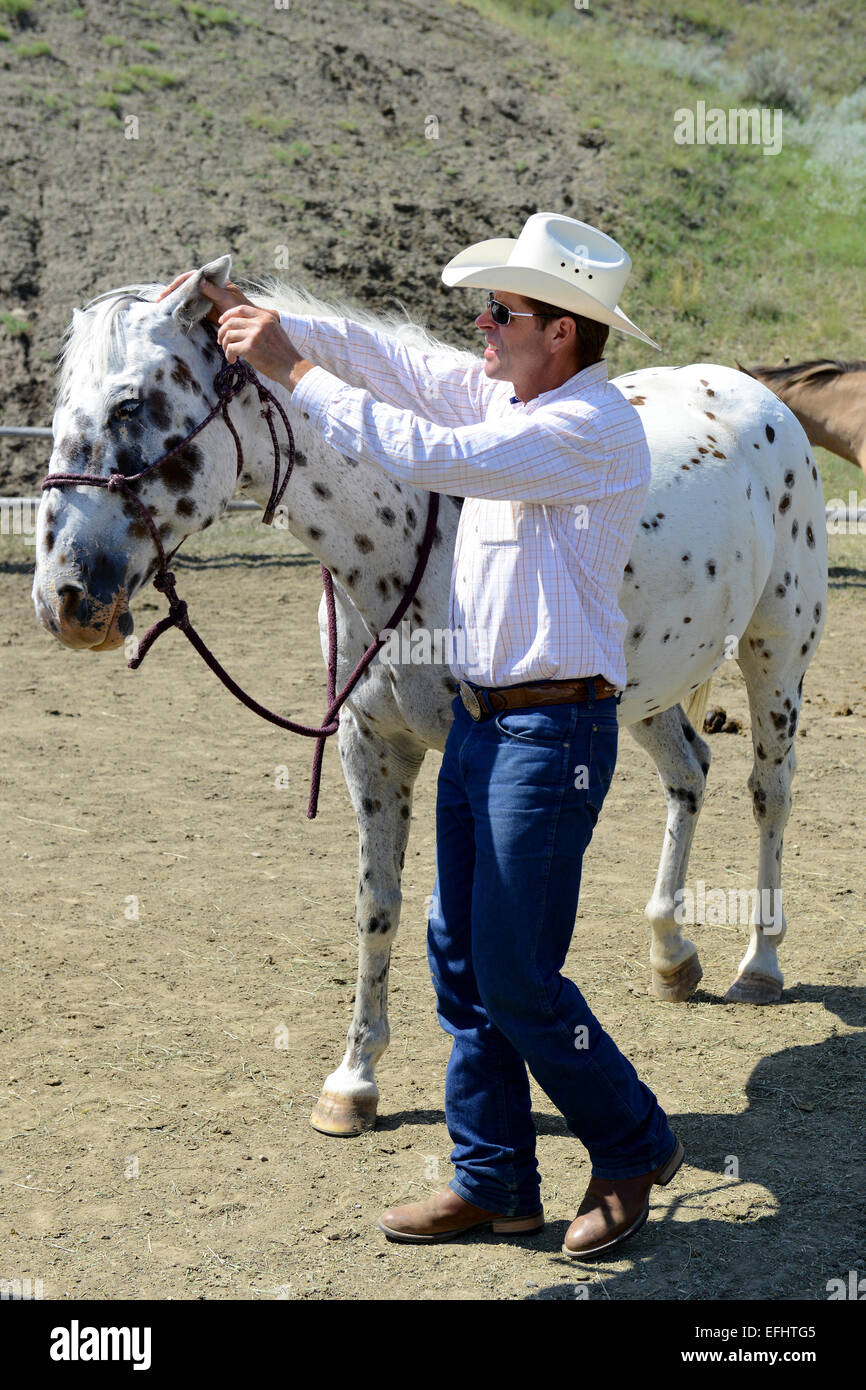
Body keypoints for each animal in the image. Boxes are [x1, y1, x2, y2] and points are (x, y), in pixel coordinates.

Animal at [33, 255, 828, 1134]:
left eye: (131, 403)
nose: (65, 600)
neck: (411, 530)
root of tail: (753, 394)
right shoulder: (372, 747)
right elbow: (378, 905)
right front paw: (353, 1081)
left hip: (776, 656)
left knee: (768, 793)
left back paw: (760, 963)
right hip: (647, 695)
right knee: (690, 772)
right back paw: (671, 956)